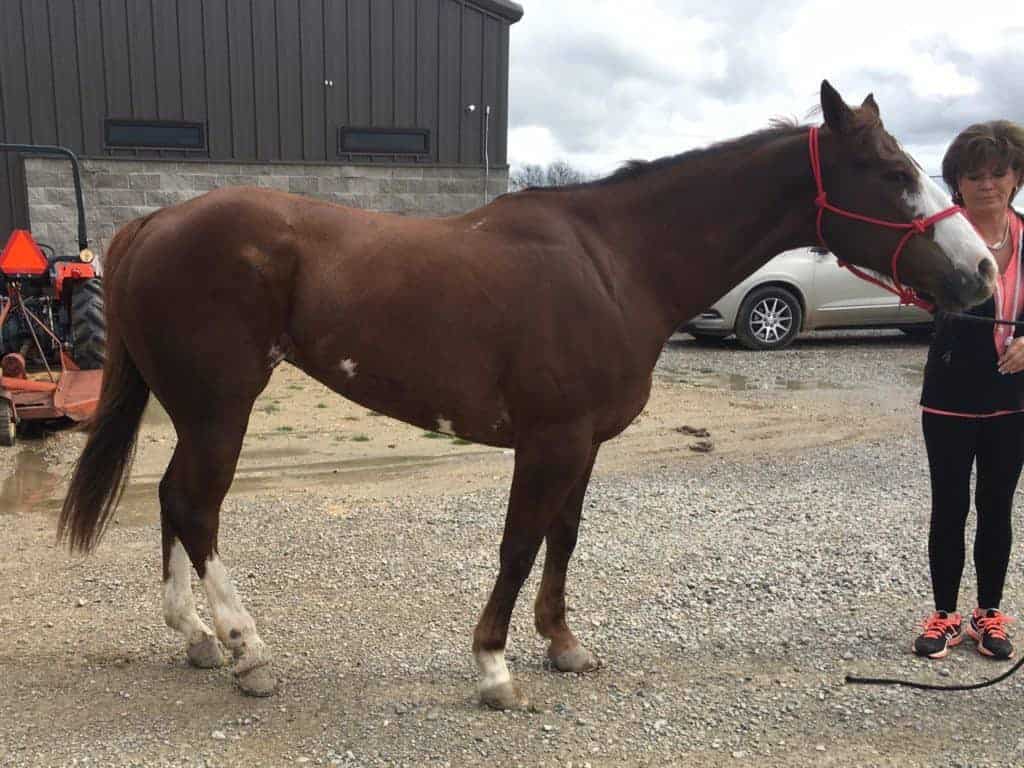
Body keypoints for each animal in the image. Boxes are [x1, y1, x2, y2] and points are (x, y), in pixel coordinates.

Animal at [58, 81, 996, 709]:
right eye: (888, 170)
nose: (983, 270)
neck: (615, 261)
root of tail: (155, 221)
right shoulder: (549, 441)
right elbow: (517, 546)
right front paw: (494, 668)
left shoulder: (582, 444)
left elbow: (562, 541)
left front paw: (562, 645)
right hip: (221, 407)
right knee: (198, 506)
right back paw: (247, 650)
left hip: (194, 411)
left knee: (174, 501)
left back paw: (197, 639)